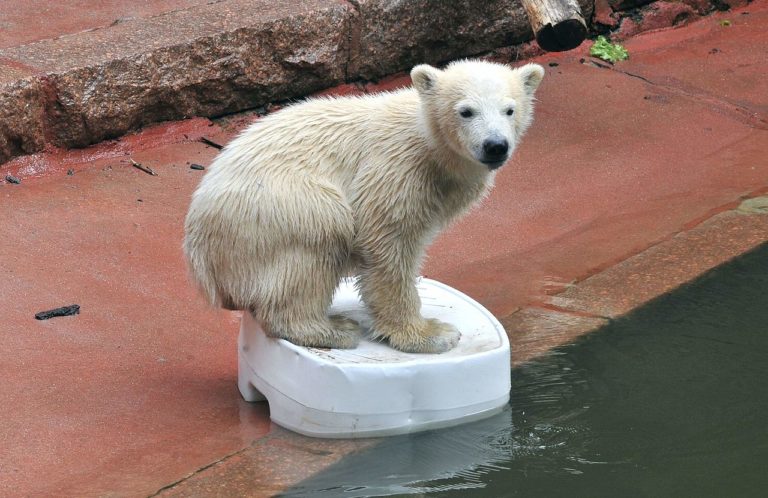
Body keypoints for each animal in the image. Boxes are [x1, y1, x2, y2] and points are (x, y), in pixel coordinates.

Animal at [184, 58, 544, 354]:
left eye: (509, 110)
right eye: (466, 111)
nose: (495, 145)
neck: (431, 146)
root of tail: (203, 263)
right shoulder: (395, 170)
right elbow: (387, 244)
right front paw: (430, 334)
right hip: (276, 205)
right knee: (321, 231)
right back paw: (333, 329)